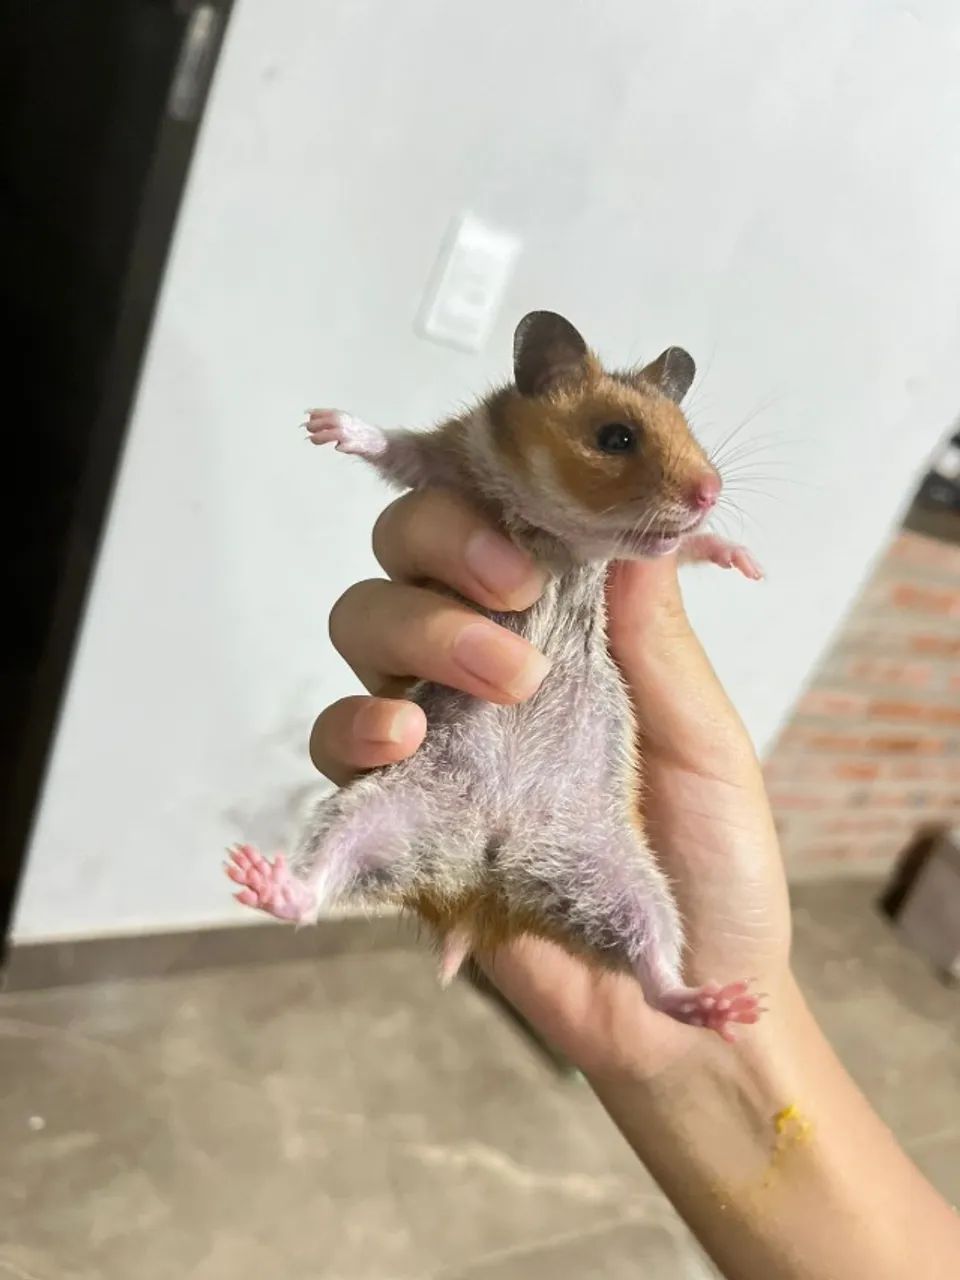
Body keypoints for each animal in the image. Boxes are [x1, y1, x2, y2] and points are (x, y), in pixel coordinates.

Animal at [226, 311, 763, 1038]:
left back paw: (723, 1005)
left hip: (627, 880)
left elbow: (685, 550)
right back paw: (263, 880)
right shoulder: (444, 461)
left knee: (655, 974)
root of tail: (485, 889)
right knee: (314, 895)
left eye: (692, 434)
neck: (559, 533)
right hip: (373, 813)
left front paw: (744, 558)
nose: (710, 493)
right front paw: (326, 424)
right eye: (616, 437)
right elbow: (394, 447)